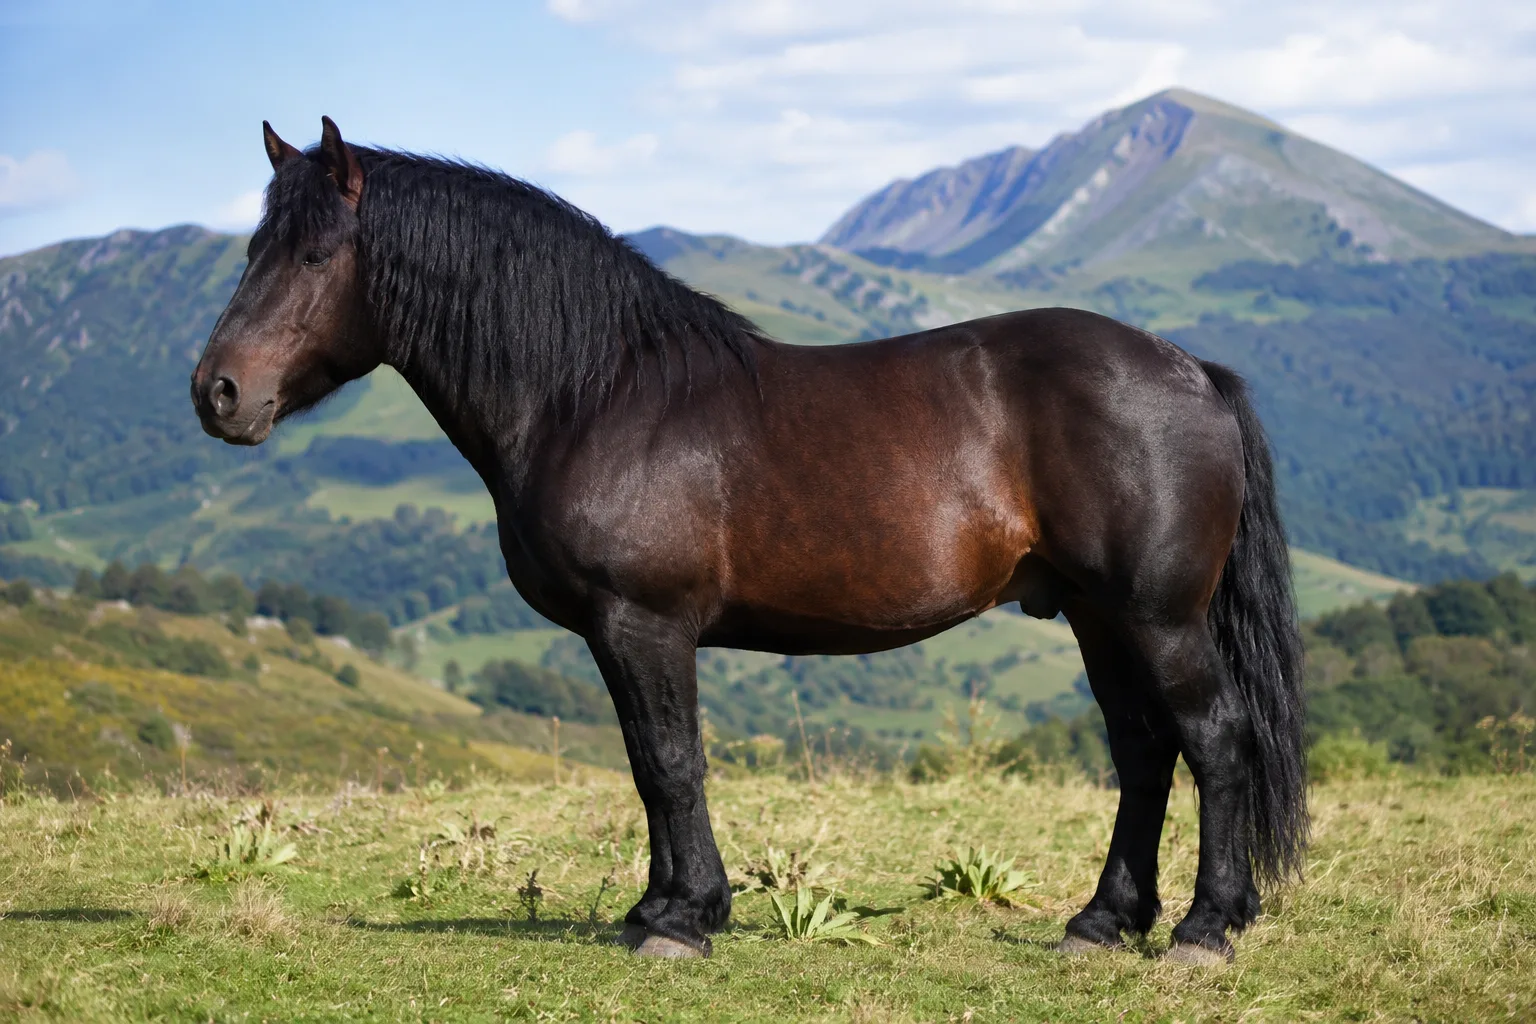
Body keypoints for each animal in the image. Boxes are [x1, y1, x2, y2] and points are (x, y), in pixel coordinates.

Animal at [192, 118, 1306, 964]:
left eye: (315, 256)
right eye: (251, 252)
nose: (218, 394)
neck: (598, 394)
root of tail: (1191, 370)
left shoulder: (644, 623)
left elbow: (671, 761)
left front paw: (683, 922)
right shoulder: (617, 635)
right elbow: (647, 763)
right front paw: (657, 907)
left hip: (1156, 617)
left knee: (1214, 740)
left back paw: (1205, 929)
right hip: (1093, 617)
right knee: (1144, 749)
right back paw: (1103, 922)